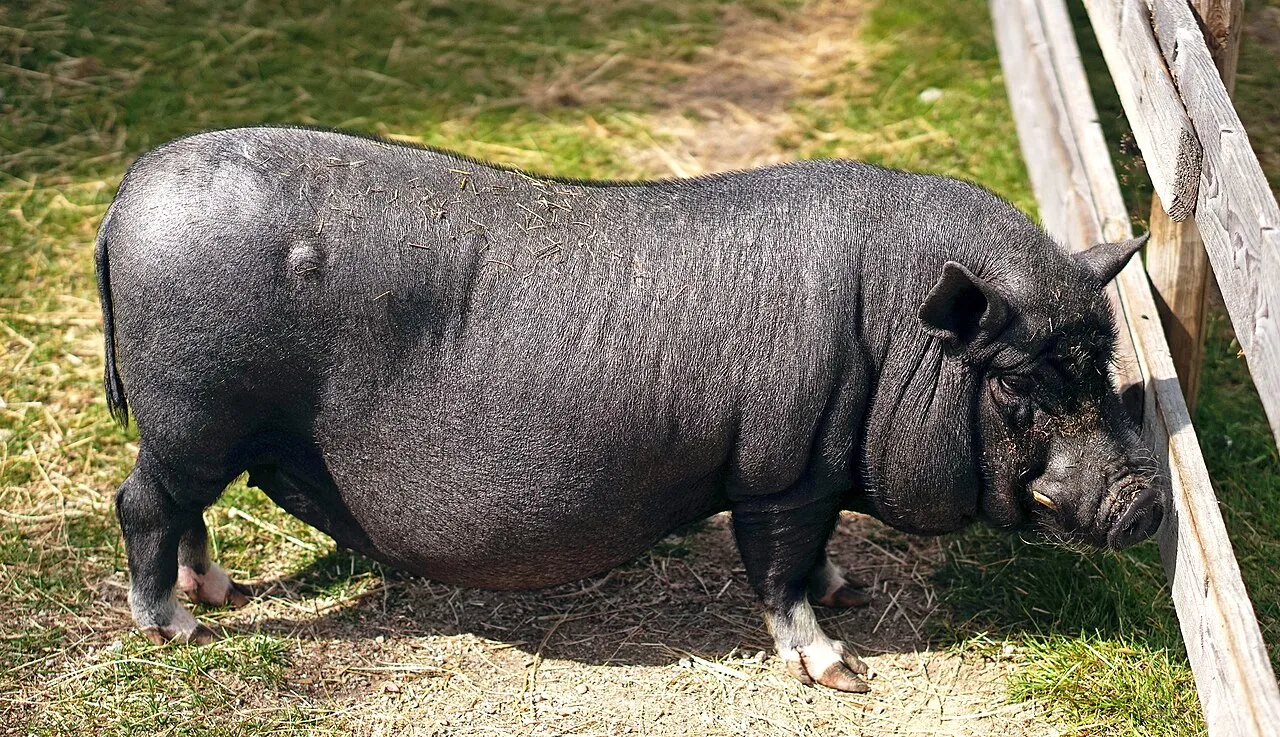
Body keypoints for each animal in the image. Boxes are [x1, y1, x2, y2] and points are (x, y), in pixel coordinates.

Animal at [96, 126, 1161, 693]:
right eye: (1017, 381)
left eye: (1101, 359)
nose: (1147, 501)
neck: (889, 333)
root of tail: (125, 195)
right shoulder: (781, 469)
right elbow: (778, 568)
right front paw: (839, 669)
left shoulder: (813, 473)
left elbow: (814, 555)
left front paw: (850, 587)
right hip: (196, 412)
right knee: (141, 503)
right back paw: (178, 629)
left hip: (202, 428)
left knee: (182, 508)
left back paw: (218, 593)